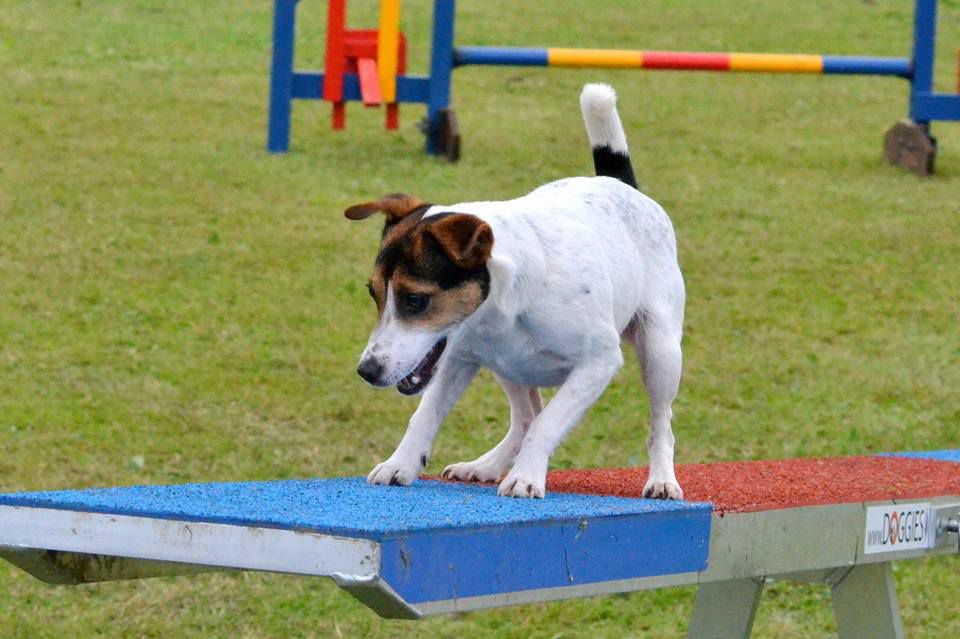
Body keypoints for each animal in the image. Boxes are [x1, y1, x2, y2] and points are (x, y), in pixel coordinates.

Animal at [348, 84, 688, 500]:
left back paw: (662, 478)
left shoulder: (599, 362)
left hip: (660, 353)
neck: (506, 303)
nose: (367, 371)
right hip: (507, 366)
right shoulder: (457, 359)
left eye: (416, 299)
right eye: (374, 294)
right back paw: (484, 466)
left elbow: (548, 424)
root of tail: (620, 183)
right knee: (524, 418)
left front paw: (526, 476)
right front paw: (401, 463)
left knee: (660, 423)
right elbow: (424, 417)